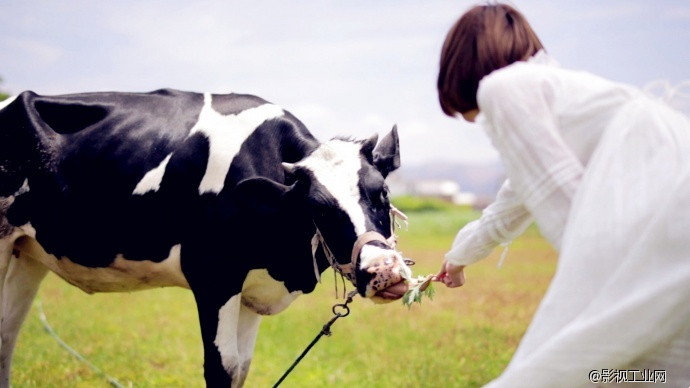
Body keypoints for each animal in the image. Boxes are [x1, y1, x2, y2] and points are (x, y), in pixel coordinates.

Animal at [0, 89, 408, 386]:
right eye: (318, 209)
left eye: (383, 192)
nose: (384, 271)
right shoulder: (213, 275)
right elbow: (222, 367)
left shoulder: (253, 287)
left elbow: (242, 367)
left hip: (29, 253)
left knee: (6, 336)